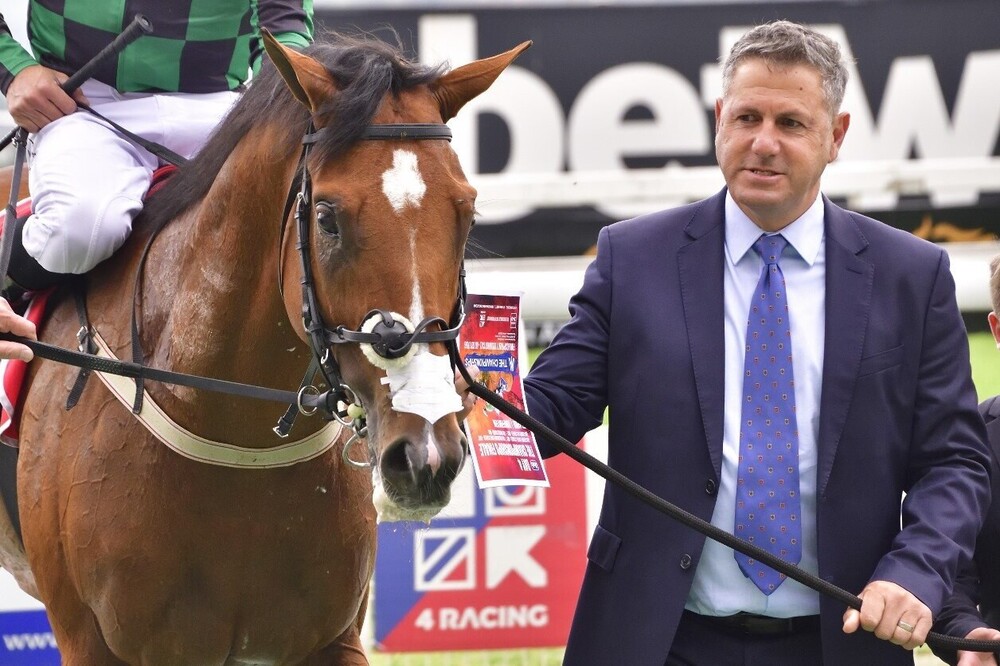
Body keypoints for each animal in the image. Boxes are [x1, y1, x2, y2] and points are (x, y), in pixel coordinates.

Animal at [0, 30, 529, 664]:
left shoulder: (332, 639)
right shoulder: (92, 643)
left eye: (466, 212)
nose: (425, 452)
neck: (237, 435)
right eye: (326, 217)